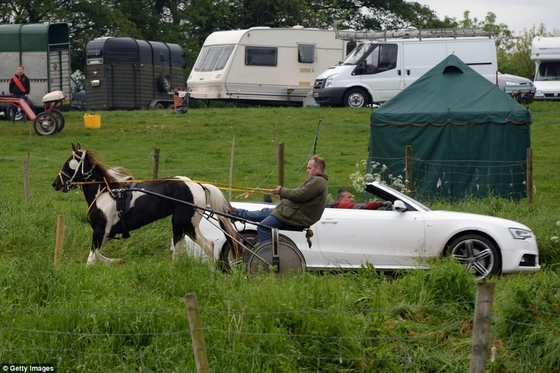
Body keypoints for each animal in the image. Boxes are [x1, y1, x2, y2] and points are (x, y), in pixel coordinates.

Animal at [51, 142, 237, 264]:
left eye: (68, 164)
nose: (56, 184)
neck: (104, 193)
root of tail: (197, 184)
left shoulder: (100, 230)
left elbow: (92, 258)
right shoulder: (107, 233)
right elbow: (97, 254)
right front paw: (115, 260)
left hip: (182, 224)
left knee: (191, 249)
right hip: (187, 226)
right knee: (206, 247)